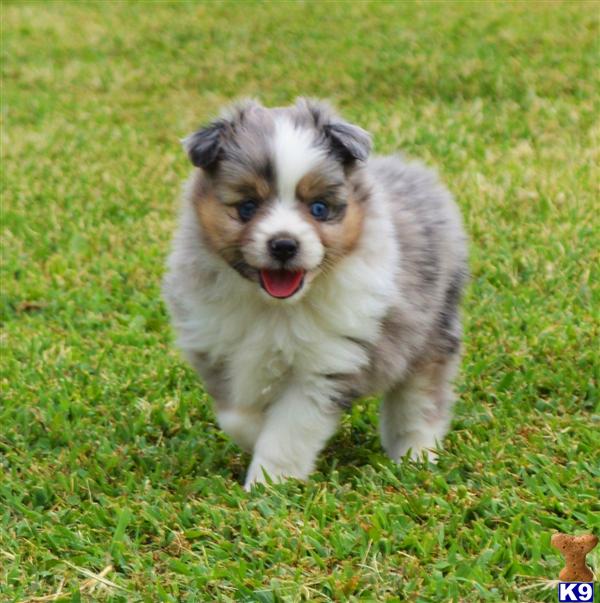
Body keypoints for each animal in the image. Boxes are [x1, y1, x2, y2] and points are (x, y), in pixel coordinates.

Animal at [163, 98, 468, 490]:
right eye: (247, 207)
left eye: (319, 208)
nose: (283, 244)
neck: (275, 308)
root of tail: (414, 172)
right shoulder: (218, 348)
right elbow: (238, 416)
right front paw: (257, 442)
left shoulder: (326, 364)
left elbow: (288, 430)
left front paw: (268, 483)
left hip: (431, 333)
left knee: (419, 400)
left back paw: (416, 456)